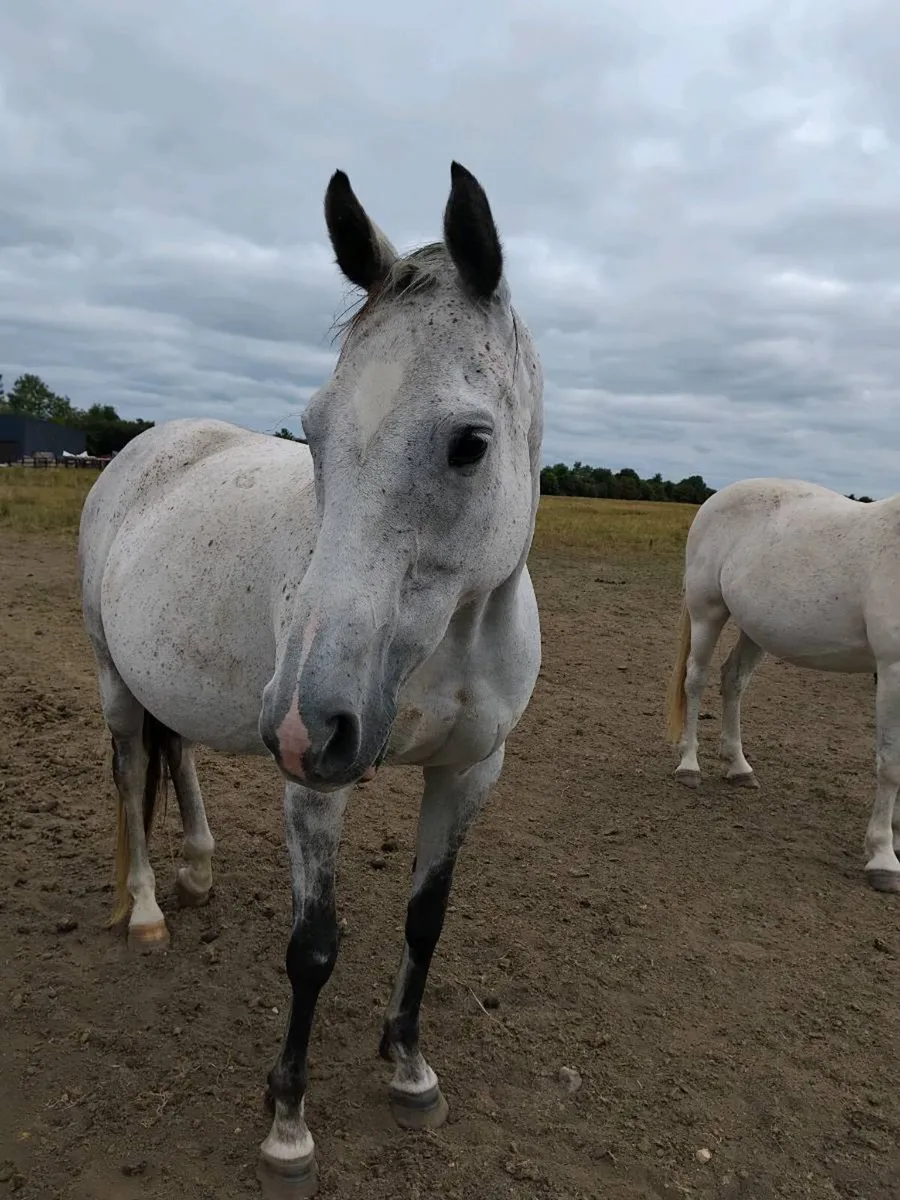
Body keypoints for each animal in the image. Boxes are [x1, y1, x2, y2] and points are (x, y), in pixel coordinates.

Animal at [77, 161, 544, 1197]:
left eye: (469, 443)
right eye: (315, 432)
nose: (303, 720)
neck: (449, 641)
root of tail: (147, 446)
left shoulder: (471, 772)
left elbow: (425, 921)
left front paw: (410, 1068)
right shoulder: (315, 784)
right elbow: (314, 949)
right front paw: (287, 1120)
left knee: (178, 757)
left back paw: (199, 868)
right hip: (117, 682)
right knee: (130, 778)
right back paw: (146, 911)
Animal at [664, 477, 900, 895]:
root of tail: (716, 497)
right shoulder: (891, 670)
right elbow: (890, 763)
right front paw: (883, 857)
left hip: (756, 629)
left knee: (733, 680)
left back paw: (739, 767)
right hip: (707, 613)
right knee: (696, 680)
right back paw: (689, 766)